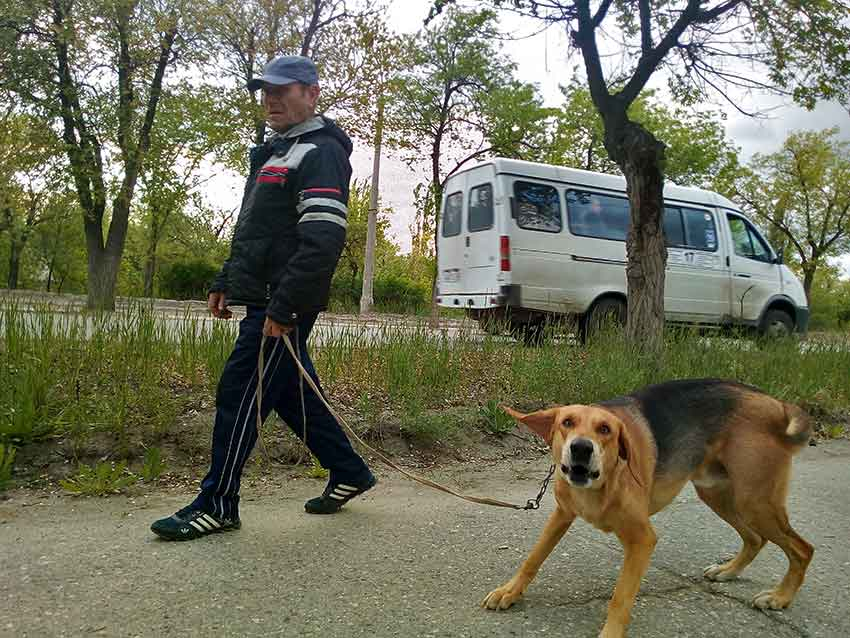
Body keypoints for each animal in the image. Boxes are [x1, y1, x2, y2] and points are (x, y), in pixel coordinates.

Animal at [480, 380, 812, 638]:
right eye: (567, 423)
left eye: (605, 429)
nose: (581, 448)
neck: (602, 483)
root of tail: (775, 403)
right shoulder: (562, 515)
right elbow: (533, 559)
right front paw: (509, 591)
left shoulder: (642, 540)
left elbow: (621, 597)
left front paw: (611, 633)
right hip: (718, 494)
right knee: (756, 538)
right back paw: (728, 571)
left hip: (754, 501)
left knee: (802, 549)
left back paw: (779, 598)